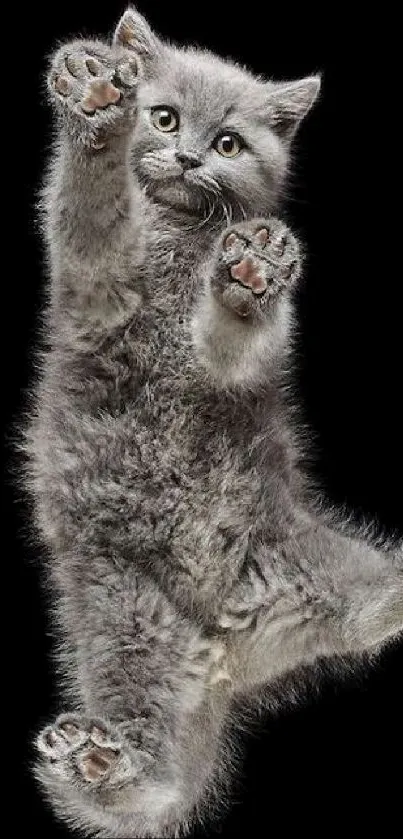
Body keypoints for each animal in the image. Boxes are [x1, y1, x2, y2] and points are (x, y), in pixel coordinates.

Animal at [26, 8, 403, 839]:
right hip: (128, 619)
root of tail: (240, 647)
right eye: (164, 117)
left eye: (229, 144)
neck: (178, 240)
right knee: (158, 780)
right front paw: (96, 103)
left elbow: (236, 340)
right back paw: (99, 760)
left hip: (330, 570)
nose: (190, 155)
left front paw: (250, 271)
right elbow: (93, 206)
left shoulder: (231, 364)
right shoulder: (100, 275)